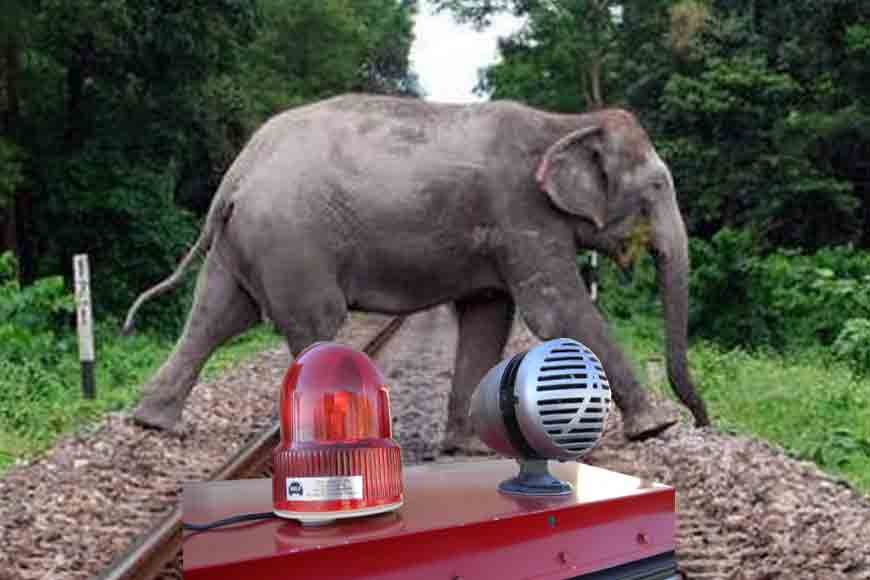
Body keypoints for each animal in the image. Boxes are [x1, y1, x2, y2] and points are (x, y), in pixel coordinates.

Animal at [122, 94, 710, 449]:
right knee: (313, 323)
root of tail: (239, 170)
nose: (704, 421)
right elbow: (555, 311)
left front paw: (470, 445)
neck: (564, 123)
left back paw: (150, 422)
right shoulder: (520, 212)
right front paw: (655, 427)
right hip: (292, 240)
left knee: (216, 315)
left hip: (245, 241)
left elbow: (487, 317)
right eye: (656, 188)